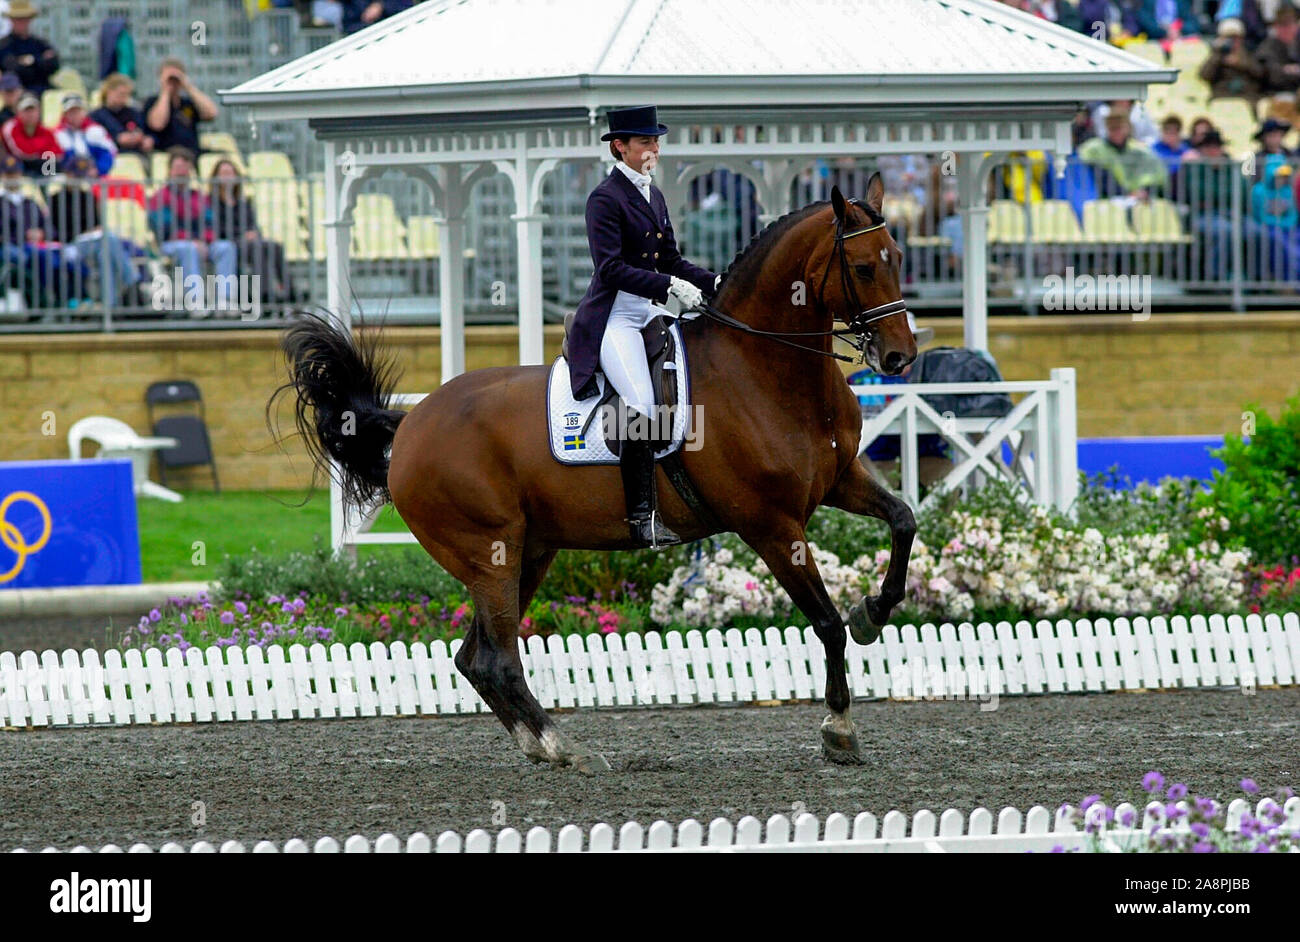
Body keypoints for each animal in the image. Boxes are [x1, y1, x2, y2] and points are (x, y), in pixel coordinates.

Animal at [276, 176, 915, 769]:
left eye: (898, 257)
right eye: (862, 267)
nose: (900, 357)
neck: (764, 369)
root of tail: (410, 425)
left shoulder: (839, 481)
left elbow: (903, 521)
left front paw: (873, 612)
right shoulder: (770, 524)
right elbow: (825, 622)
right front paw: (838, 729)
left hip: (529, 551)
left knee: (474, 658)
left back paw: (538, 745)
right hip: (490, 554)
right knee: (498, 658)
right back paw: (563, 748)